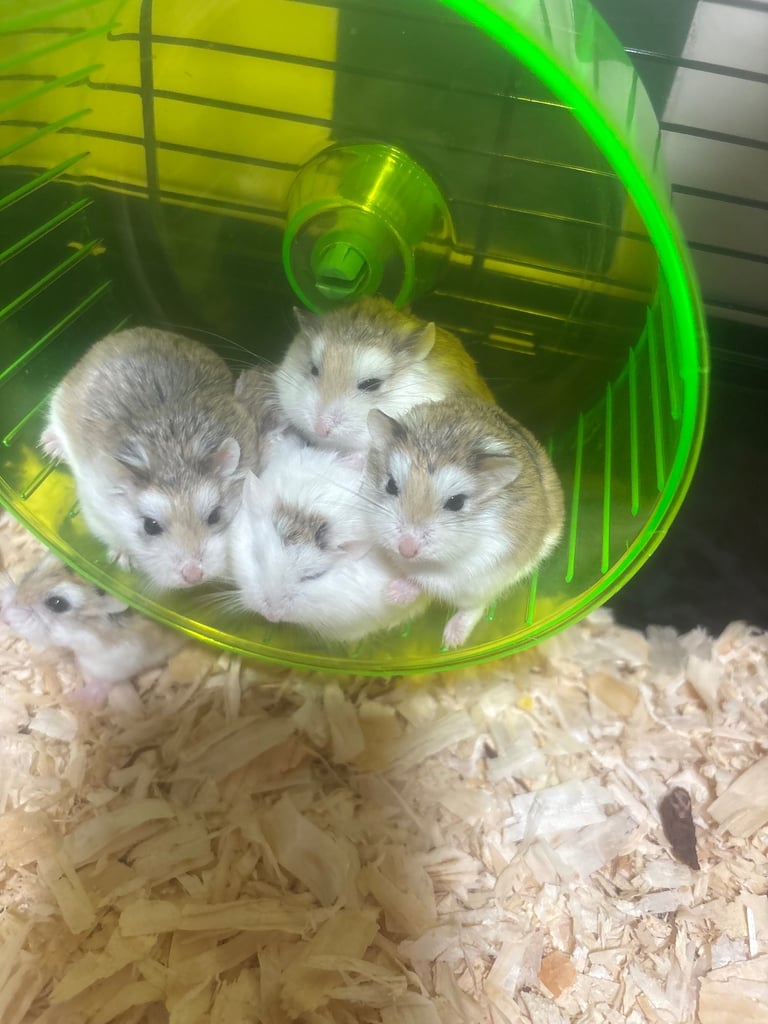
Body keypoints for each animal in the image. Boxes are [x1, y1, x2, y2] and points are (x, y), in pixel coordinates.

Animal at [0, 553, 185, 699]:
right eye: (33, 570)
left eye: (57, 603)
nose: (6, 619)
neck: (81, 631)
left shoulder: (116, 658)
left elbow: (106, 680)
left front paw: (76, 699)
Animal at [40, 327, 260, 590]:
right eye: (150, 526)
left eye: (215, 515)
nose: (194, 577)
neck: (172, 453)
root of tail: (132, 331)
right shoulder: (96, 510)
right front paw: (124, 560)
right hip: (58, 401)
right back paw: (50, 445)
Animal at [363, 396, 565, 648]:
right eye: (390, 485)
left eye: (456, 502)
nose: (406, 550)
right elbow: (420, 578)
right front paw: (391, 594)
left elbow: (437, 584)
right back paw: (394, 594)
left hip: (490, 583)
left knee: (473, 606)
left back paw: (452, 640)